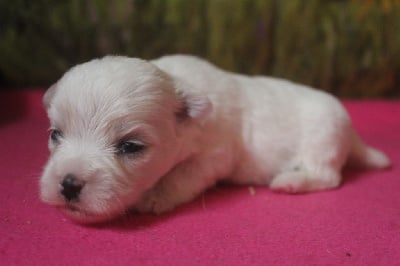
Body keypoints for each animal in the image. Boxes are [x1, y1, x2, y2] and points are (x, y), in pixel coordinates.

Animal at [40, 54, 390, 222]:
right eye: (56, 134)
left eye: (130, 146)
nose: (68, 184)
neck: (180, 83)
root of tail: (352, 135)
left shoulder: (215, 156)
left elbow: (182, 176)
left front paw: (154, 196)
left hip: (322, 136)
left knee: (329, 176)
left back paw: (291, 180)